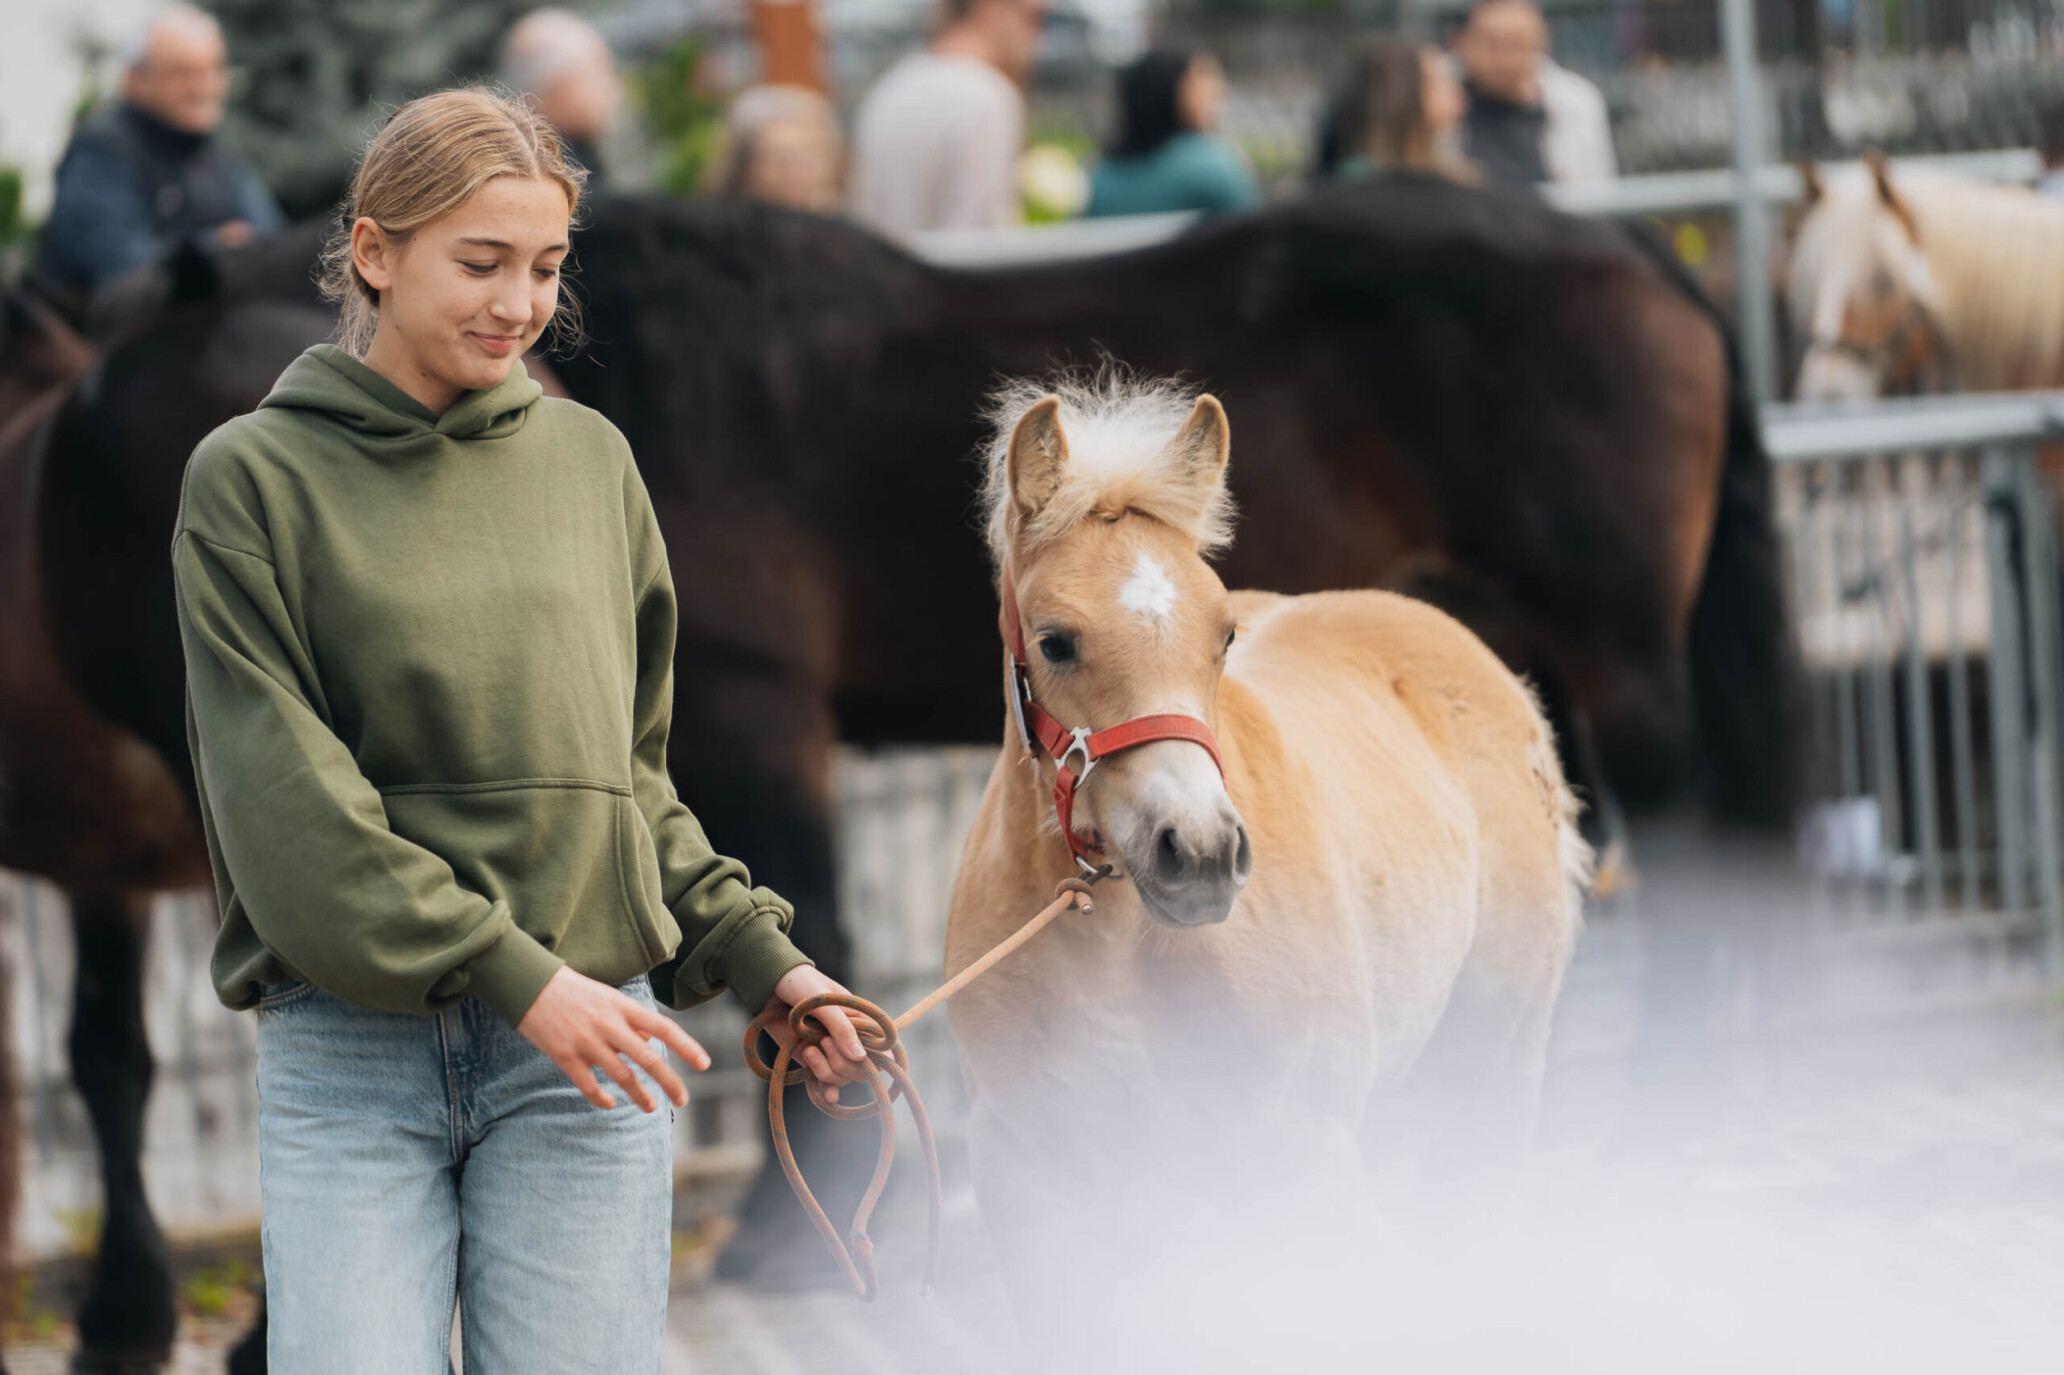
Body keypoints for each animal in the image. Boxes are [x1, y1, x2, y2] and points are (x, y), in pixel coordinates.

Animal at [944, 378, 1587, 1353]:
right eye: (1055, 641)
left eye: (1222, 636)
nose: (1201, 854)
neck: (1116, 950)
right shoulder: (1033, 1186)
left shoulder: (1296, 1164)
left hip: (1490, 1065)